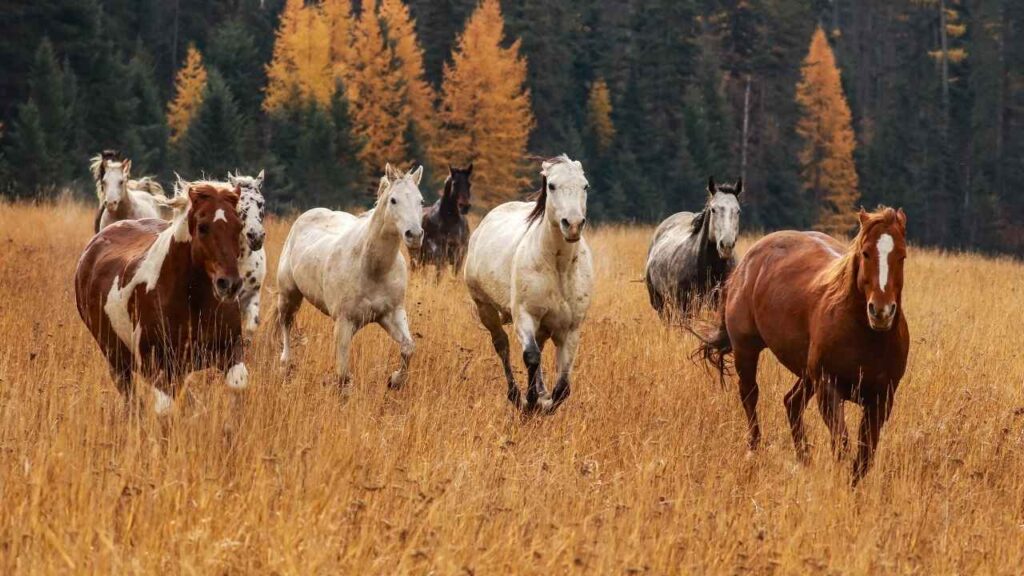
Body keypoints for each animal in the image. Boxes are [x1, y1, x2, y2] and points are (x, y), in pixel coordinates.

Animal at [75, 181, 247, 414]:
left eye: (239, 226)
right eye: (203, 227)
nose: (229, 284)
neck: (193, 301)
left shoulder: (230, 350)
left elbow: (237, 386)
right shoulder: (153, 363)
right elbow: (167, 406)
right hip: (116, 358)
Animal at [274, 163, 424, 393]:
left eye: (421, 201)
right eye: (393, 200)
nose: (414, 235)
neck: (371, 268)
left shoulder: (392, 314)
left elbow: (408, 348)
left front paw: (394, 381)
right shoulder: (344, 322)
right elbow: (343, 374)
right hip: (288, 295)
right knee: (286, 324)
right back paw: (286, 364)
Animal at [464, 154, 593, 413]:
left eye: (585, 186)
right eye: (552, 186)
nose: (573, 225)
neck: (558, 268)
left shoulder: (571, 329)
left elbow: (563, 386)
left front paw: (544, 402)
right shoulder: (525, 316)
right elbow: (531, 357)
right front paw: (531, 403)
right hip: (485, 308)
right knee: (502, 345)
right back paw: (515, 395)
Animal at [695, 207, 910, 484]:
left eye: (902, 256)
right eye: (865, 252)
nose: (881, 312)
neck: (866, 337)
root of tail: (748, 262)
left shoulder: (882, 399)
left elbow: (865, 456)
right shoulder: (828, 388)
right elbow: (841, 444)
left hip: (807, 375)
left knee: (792, 403)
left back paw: (804, 460)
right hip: (746, 349)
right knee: (750, 395)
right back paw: (754, 450)